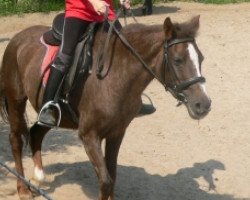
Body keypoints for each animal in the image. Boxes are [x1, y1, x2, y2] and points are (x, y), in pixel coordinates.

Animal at [0, 16, 211, 200]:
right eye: (178, 60)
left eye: (201, 58)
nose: (203, 104)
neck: (115, 76)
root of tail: (18, 38)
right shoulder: (89, 136)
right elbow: (106, 181)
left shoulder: (116, 133)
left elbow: (113, 176)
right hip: (16, 100)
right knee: (16, 140)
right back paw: (23, 188)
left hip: (53, 115)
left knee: (36, 133)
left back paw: (38, 178)